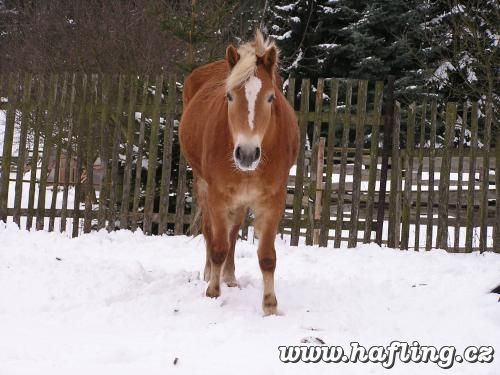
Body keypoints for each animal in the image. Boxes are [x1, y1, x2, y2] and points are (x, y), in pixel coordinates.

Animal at [179, 30, 296, 316]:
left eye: (270, 97)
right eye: (229, 97)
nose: (247, 153)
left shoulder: (272, 200)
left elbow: (267, 257)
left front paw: (270, 305)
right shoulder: (218, 195)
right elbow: (218, 246)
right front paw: (212, 292)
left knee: (232, 233)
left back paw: (230, 277)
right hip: (203, 185)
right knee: (211, 232)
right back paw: (210, 273)